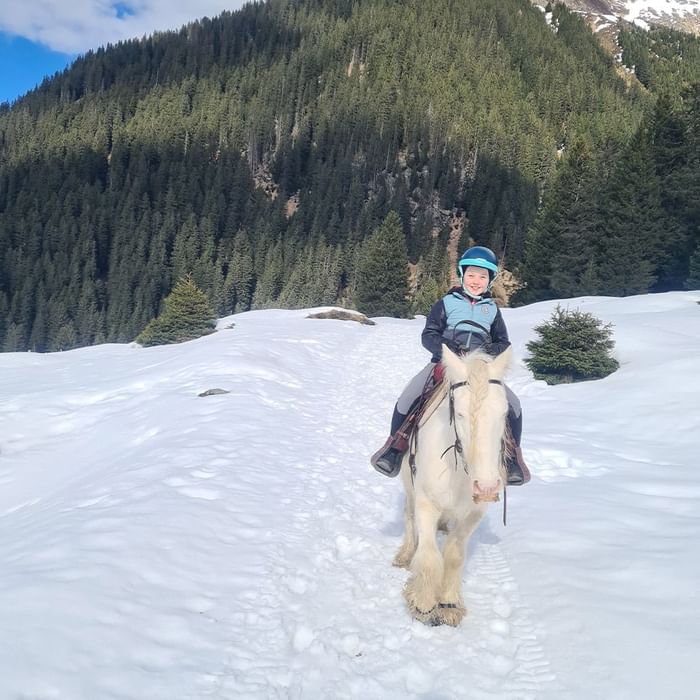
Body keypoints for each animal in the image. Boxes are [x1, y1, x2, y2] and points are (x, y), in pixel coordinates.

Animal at [393, 344, 512, 626]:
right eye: (459, 413)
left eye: (504, 413)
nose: (486, 488)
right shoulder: (426, 503)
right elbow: (428, 555)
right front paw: (423, 604)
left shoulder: (473, 514)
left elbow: (454, 556)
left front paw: (448, 604)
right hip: (409, 489)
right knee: (409, 518)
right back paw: (405, 555)